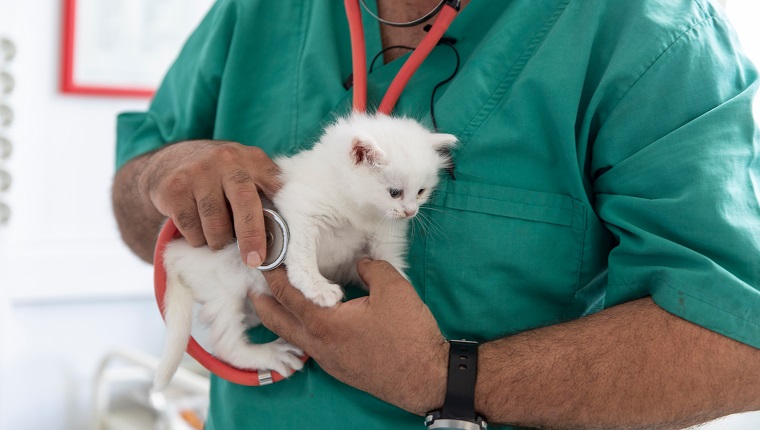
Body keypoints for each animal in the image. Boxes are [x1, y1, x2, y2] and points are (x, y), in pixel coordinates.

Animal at [151, 113, 454, 390]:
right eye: (394, 192)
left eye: (421, 191)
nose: (410, 212)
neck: (357, 207)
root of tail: (173, 253)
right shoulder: (302, 212)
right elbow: (304, 255)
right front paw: (317, 288)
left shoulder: (379, 240)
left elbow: (390, 262)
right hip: (224, 289)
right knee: (226, 344)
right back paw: (268, 355)